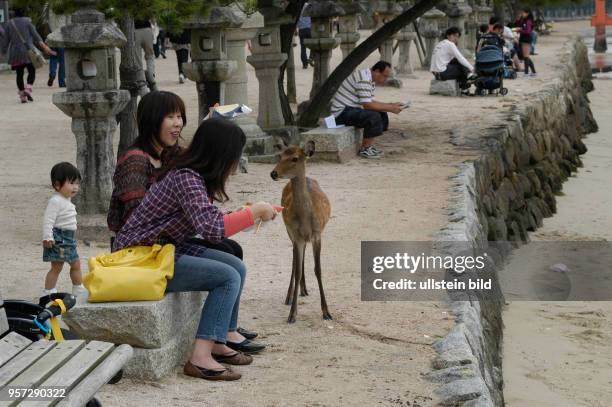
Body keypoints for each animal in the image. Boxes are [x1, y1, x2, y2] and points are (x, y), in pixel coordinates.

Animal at [270, 142, 332, 324]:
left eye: (295, 158)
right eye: (280, 155)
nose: (273, 173)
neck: (306, 220)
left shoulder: (317, 234)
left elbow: (318, 269)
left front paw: (326, 312)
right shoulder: (296, 236)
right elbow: (296, 270)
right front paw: (292, 314)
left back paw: (303, 290)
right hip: (288, 230)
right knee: (294, 260)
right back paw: (290, 296)